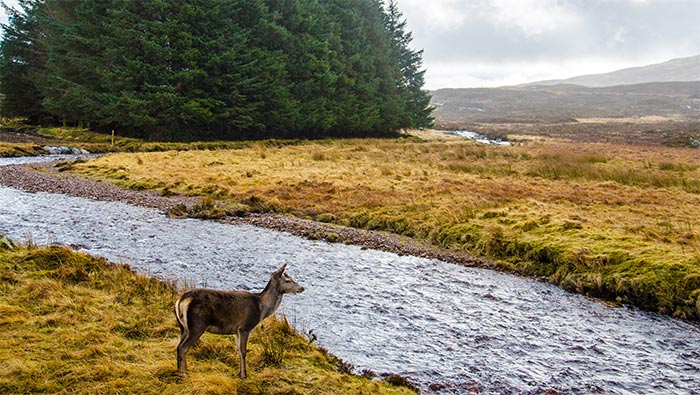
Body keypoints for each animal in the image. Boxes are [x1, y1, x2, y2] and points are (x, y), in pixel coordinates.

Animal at [174, 264, 302, 378]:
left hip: (183, 327)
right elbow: (244, 351)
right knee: (183, 348)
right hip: (197, 325)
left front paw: (239, 373)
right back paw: (184, 374)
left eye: (292, 278)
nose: (302, 288)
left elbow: (239, 351)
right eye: (287, 281)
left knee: (178, 346)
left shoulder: (236, 331)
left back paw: (180, 371)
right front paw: (244, 375)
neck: (261, 309)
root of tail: (181, 300)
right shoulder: (245, 327)